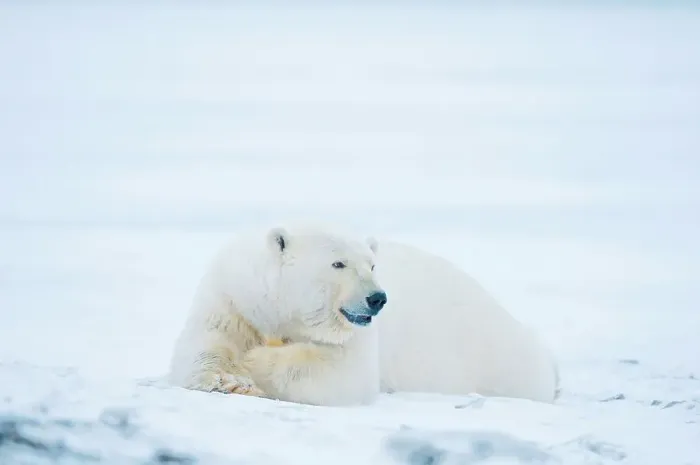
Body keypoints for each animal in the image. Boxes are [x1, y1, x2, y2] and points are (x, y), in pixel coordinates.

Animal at [167, 225, 559, 405]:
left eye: (371, 264)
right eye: (338, 263)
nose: (377, 298)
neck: (279, 310)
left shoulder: (360, 336)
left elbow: (340, 374)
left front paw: (255, 362)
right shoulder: (233, 297)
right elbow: (205, 346)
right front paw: (231, 379)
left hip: (493, 354)